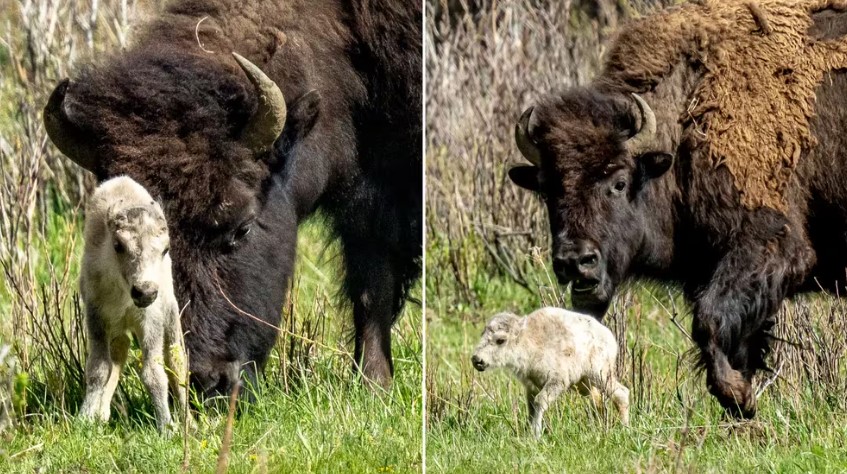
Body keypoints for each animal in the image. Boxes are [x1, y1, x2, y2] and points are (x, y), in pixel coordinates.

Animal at [43, 0, 420, 396]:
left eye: (243, 228)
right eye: (119, 243)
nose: (205, 380)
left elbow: (375, 285)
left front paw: (374, 384)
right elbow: (370, 285)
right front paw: (374, 384)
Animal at [79, 175, 189, 434]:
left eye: (165, 249)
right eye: (119, 245)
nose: (145, 291)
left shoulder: (150, 321)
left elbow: (154, 373)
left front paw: (167, 427)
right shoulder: (96, 316)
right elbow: (99, 368)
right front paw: (86, 417)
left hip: (171, 316)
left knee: (177, 362)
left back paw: (190, 421)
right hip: (118, 327)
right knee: (120, 351)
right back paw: (102, 413)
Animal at [470, 308, 628, 436]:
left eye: (501, 340)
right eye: (483, 333)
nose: (477, 360)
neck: (529, 340)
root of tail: (609, 337)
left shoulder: (557, 380)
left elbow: (540, 401)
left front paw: (536, 434)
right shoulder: (531, 386)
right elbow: (531, 408)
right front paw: (528, 432)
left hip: (600, 375)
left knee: (621, 393)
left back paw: (624, 428)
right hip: (585, 384)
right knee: (598, 401)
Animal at [506, 0, 847, 416]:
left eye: (619, 182)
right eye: (546, 191)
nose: (575, 261)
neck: (688, 117)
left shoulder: (771, 246)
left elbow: (710, 321)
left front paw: (737, 394)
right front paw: (741, 402)